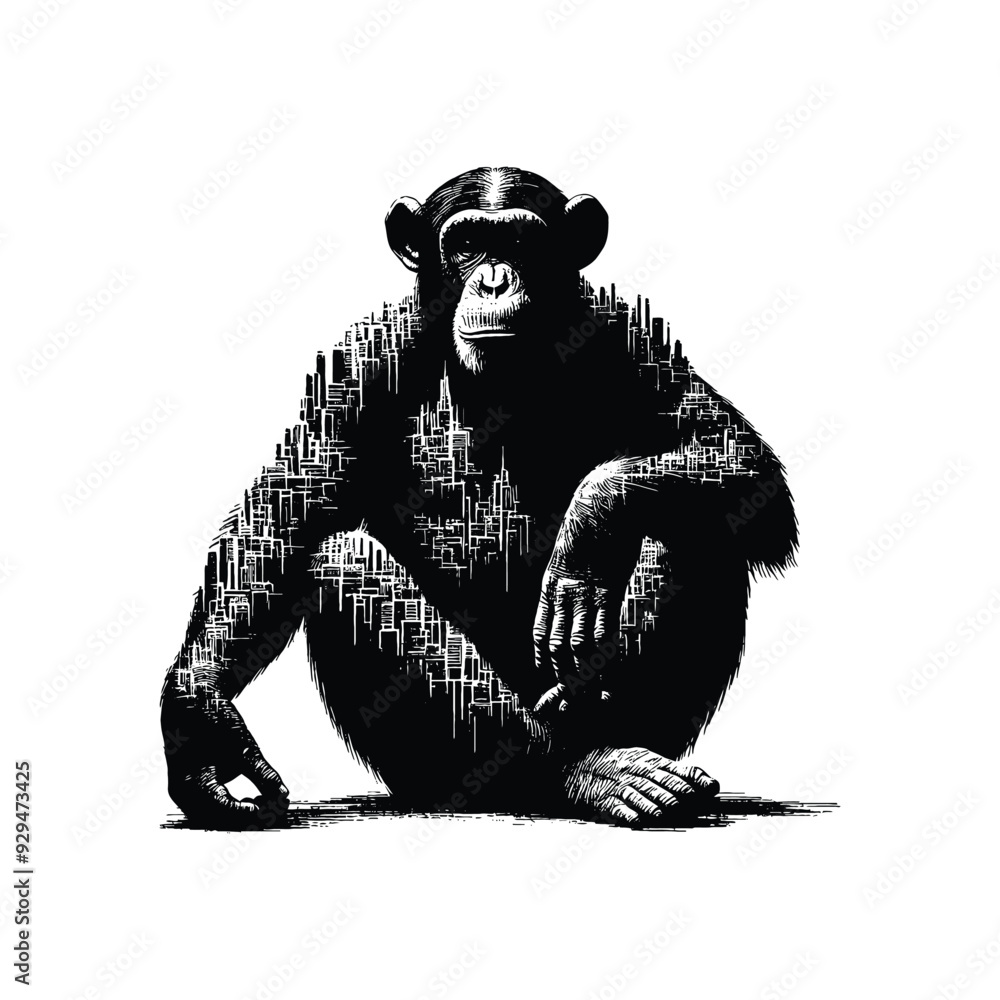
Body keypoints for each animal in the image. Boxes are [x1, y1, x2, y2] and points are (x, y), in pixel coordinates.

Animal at [160, 166, 797, 828]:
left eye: (520, 243)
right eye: (466, 244)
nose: (494, 279)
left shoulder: (627, 331)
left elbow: (734, 455)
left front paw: (590, 527)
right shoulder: (360, 360)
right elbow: (283, 515)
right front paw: (201, 722)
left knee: (690, 526)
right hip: (428, 769)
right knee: (342, 559)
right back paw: (580, 770)